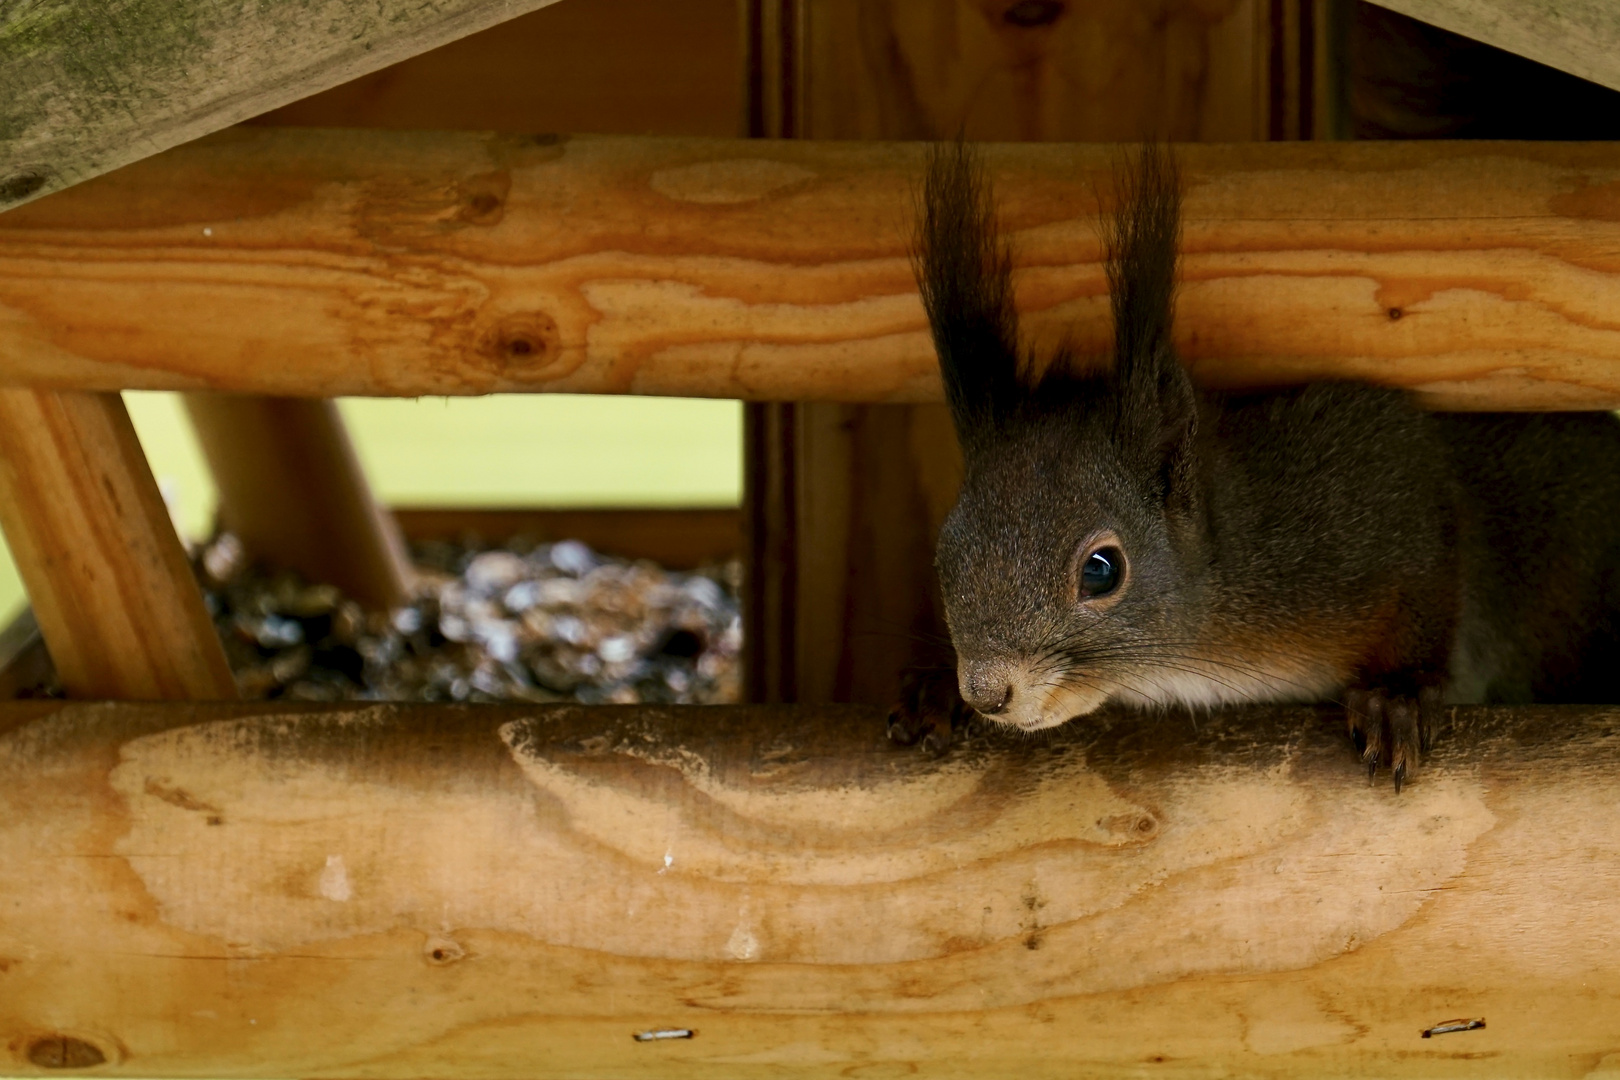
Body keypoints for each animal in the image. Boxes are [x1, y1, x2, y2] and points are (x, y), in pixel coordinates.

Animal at [894, 139, 1620, 790]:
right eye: (945, 555)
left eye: (1102, 570)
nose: (986, 690)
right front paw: (936, 693)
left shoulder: (1380, 483)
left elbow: (1432, 578)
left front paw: (1399, 696)